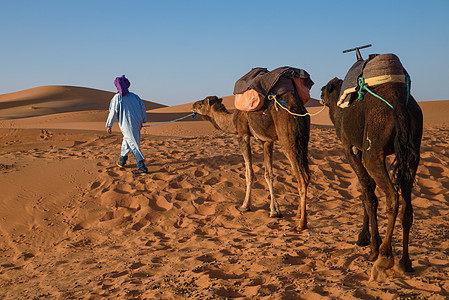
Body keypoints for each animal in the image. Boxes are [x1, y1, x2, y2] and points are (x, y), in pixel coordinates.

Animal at [191, 92, 310, 231]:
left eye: (201, 104)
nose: (193, 105)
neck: (233, 119)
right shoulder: (266, 141)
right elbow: (268, 174)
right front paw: (275, 211)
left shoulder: (243, 134)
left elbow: (249, 173)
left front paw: (245, 206)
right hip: (303, 142)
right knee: (306, 175)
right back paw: (298, 214)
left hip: (288, 142)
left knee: (302, 178)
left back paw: (302, 223)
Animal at [320, 78, 422, 282]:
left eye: (326, 90)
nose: (319, 92)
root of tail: (399, 105)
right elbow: (367, 190)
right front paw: (363, 237)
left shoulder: (350, 148)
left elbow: (368, 194)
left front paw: (371, 246)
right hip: (413, 153)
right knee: (407, 205)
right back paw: (405, 262)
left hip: (374, 151)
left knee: (393, 197)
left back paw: (384, 255)